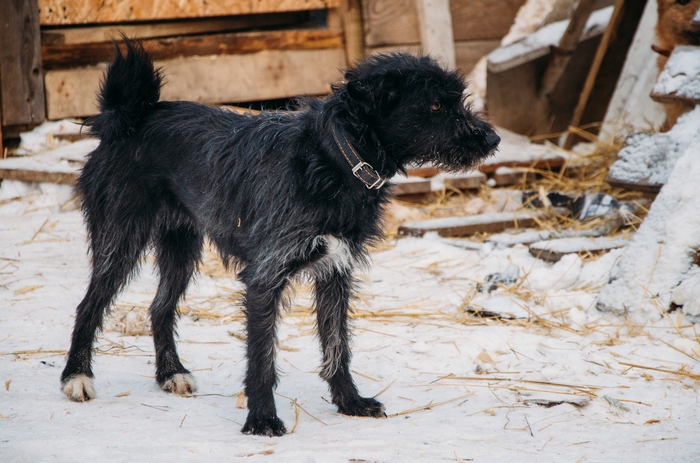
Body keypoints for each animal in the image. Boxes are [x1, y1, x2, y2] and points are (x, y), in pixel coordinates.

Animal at [60, 38, 498, 436]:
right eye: (436, 106)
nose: (492, 139)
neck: (334, 159)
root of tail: (130, 116)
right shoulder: (265, 276)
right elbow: (262, 359)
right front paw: (262, 419)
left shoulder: (336, 271)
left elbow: (338, 345)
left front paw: (350, 402)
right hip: (120, 242)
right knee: (88, 305)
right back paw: (76, 377)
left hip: (181, 249)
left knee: (159, 308)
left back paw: (171, 373)